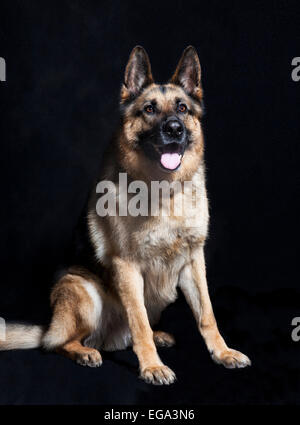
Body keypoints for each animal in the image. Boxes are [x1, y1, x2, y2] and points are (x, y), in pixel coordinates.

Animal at [0, 46, 251, 384]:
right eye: (149, 109)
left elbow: (207, 315)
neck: (164, 190)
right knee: (57, 343)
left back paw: (155, 337)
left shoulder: (194, 260)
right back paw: (84, 352)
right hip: (82, 289)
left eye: (183, 108)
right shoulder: (128, 267)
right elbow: (139, 322)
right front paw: (152, 367)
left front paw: (222, 353)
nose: (174, 129)